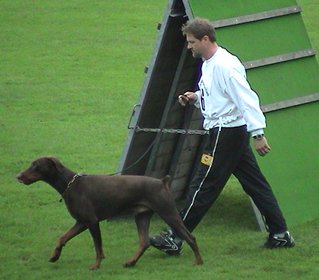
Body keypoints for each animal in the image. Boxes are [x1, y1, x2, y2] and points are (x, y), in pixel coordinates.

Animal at [16, 158, 204, 270]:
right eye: (31, 164)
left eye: (36, 165)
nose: (18, 176)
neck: (70, 184)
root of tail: (162, 182)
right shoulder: (80, 222)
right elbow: (62, 237)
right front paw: (55, 256)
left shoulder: (91, 222)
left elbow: (98, 247)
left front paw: (96, 265)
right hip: (142, 216)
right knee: (144, 242)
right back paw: (131, 262)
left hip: (168, 213)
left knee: (190, 237)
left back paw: (199, 261)